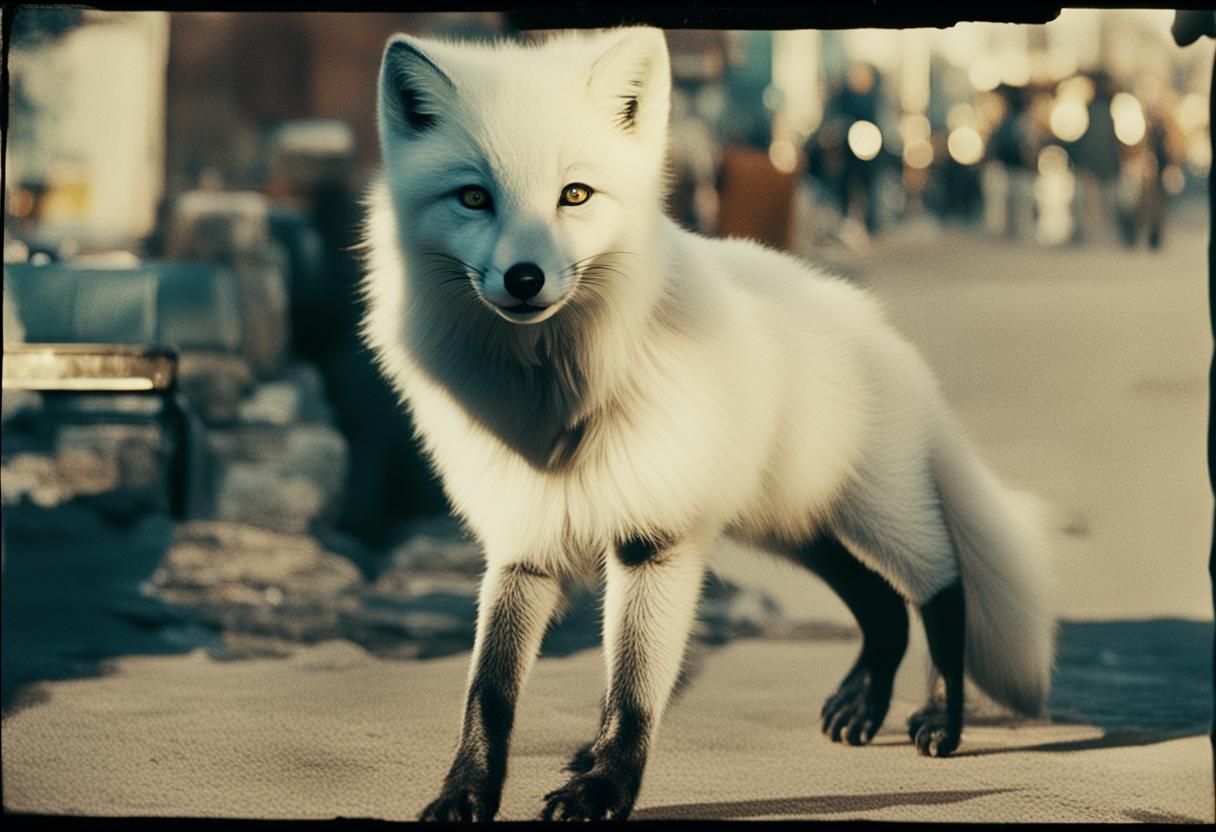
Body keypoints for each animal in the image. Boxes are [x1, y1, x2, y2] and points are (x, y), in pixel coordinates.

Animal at [360, 26, 1057, 822]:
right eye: (474, 197)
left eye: (575, 194)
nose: (525, 279)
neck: (562, 396)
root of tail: (885, 334)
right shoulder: (524, 541)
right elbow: (489, 692)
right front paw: (468, 792)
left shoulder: (653, 537)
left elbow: (632, 692)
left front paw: (604, 787)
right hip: (792, 526)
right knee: (883, 607)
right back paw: (865, 707)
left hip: (874, 513)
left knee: (941, 585)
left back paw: (942, 714)